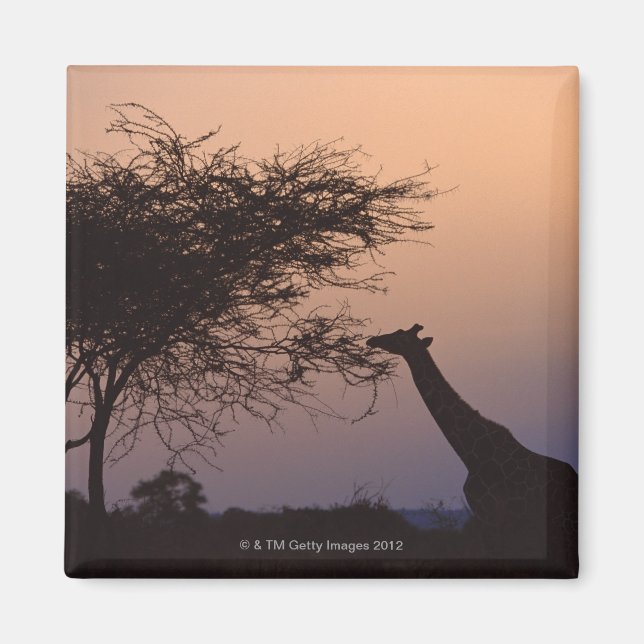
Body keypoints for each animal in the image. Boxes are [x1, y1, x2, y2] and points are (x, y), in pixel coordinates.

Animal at [367, 323, 578, 560]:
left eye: (400, 337)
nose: (372, 340)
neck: (470, 455)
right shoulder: (490, 519)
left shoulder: (492, 516)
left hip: (562, 523)